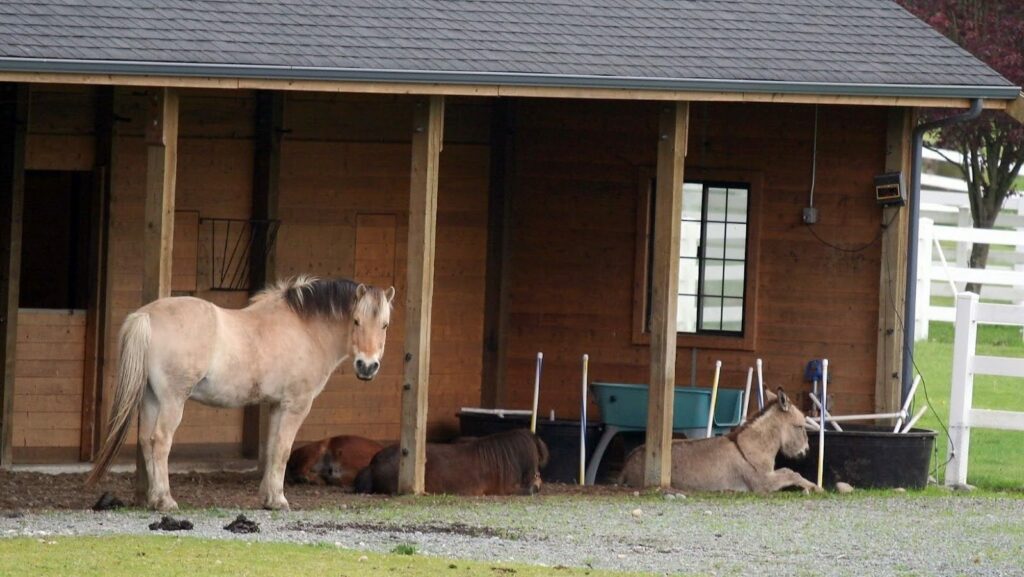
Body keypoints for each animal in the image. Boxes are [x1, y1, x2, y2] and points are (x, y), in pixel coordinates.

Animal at [87, 276, 395, 510]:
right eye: (356, 321)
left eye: (384, 325)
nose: (367, 366)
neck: (305, 330)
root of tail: (146, 315)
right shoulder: (296, 405)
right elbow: (283, 450)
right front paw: (280, 500)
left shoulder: (276, 405)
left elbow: (272, 449)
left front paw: (268, 498)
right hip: (172, 400)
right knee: (160, 441)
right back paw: (166, 501)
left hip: (151, 398)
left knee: (145, 441)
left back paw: (153, 500)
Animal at [618, 387, 819, 491]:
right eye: (800, 427)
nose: (807, 451)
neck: (750, 448)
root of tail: (626, 464)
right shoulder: (762, 484)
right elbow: (791, 472)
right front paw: (814, 487)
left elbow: (789, 471)